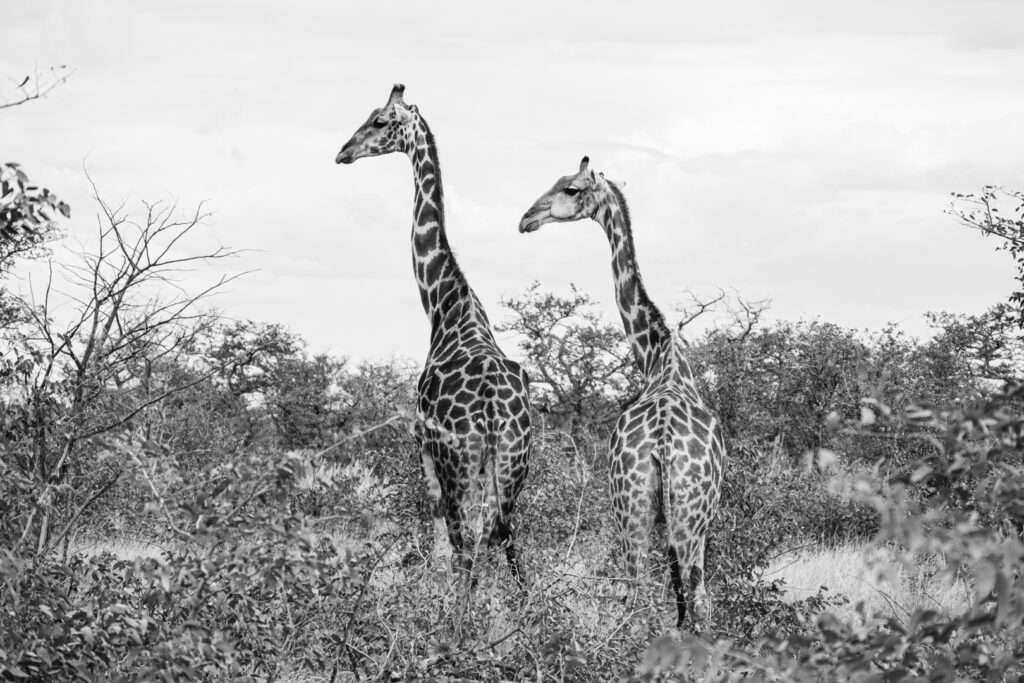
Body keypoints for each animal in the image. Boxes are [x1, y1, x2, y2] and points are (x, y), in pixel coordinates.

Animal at [335, 82, 532, 581]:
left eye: (380, 121)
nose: (343, 152)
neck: (446, 305)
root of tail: (491, 410)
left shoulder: (422, 444)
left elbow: (436, 526)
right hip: (511, 465)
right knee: (504, 535)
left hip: (458, 464)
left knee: (468, 542)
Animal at [520, 157, 729, 626]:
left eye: (571, 188)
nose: (526, 219)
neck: (657, 356)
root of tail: (664, 442)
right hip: (678, 517)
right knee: (683, 596)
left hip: (645, 513)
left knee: (648, 594)